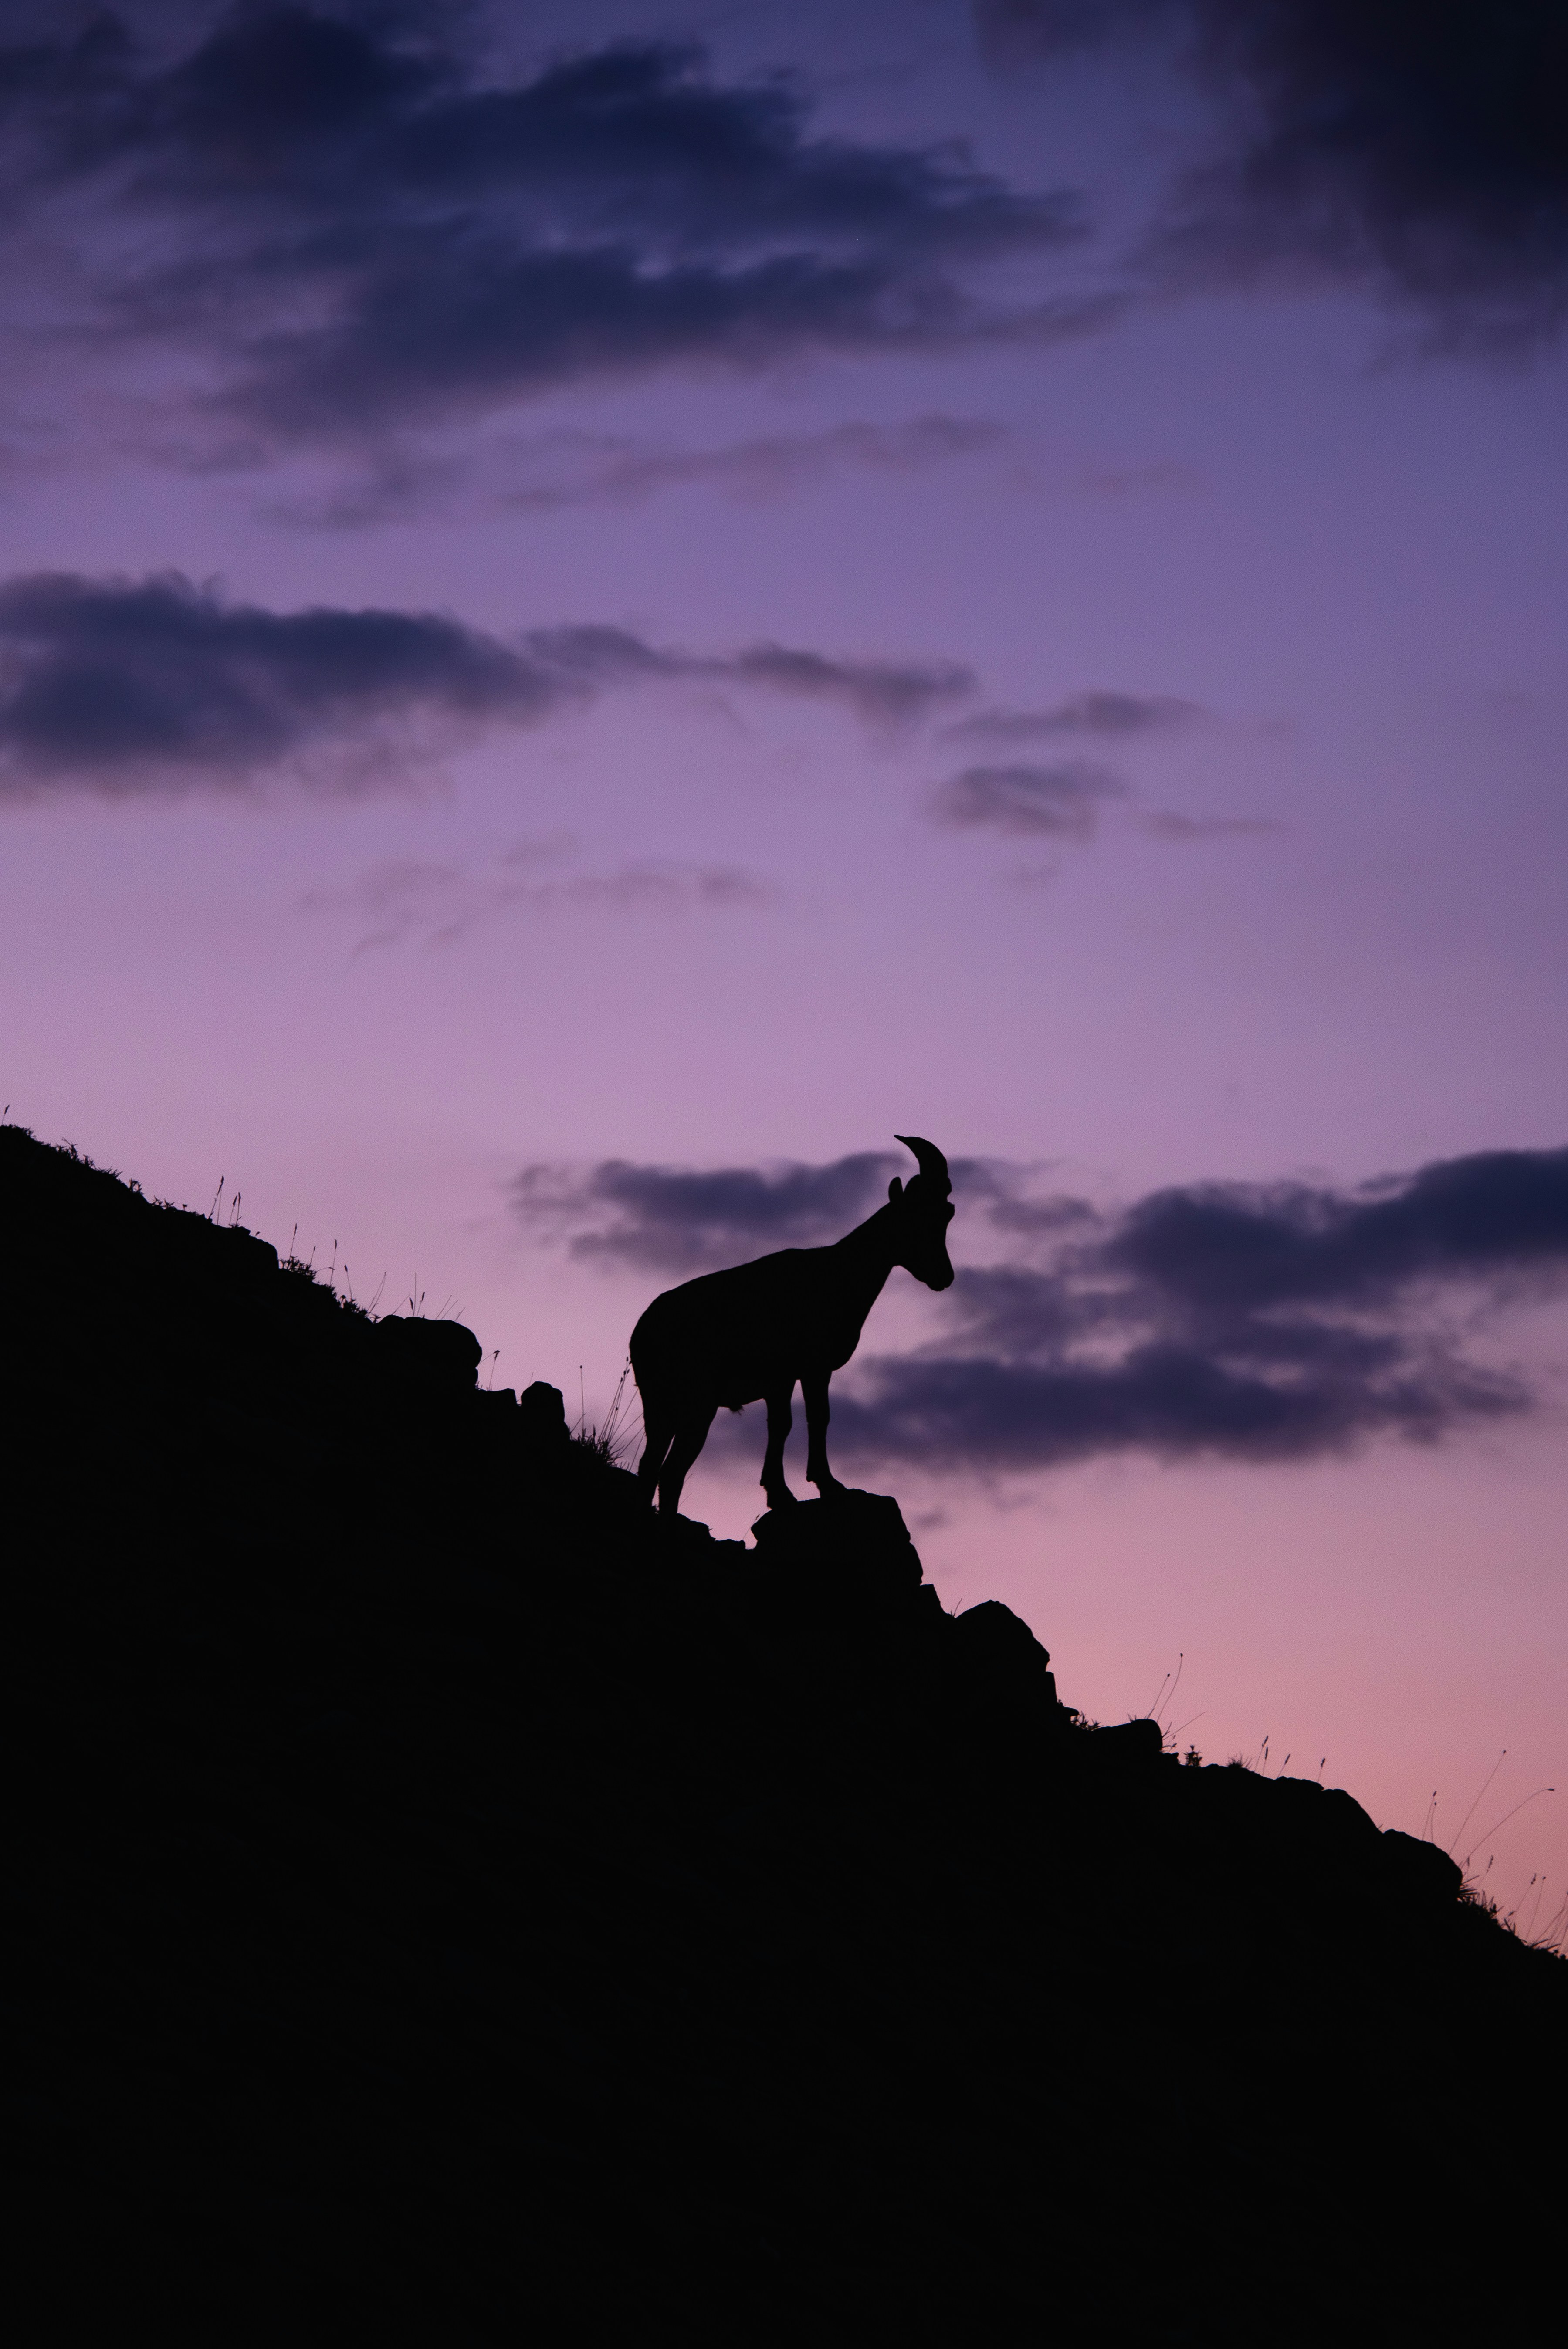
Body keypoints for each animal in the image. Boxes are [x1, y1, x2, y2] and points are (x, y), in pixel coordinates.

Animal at [630, 1136, 955, 1516]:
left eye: (946, 1213)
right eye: (915, 1215)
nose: (944, 1276)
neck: (839, 1273)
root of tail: (644, 1332)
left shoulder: (781, 1381)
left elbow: (781, 1425)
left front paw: (779, 1492)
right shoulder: (812, 1369)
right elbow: (818, 1417)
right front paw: (827, 1484)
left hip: (659, 1407)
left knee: (650, 1468)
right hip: (697, 1404)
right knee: (670, 1472)